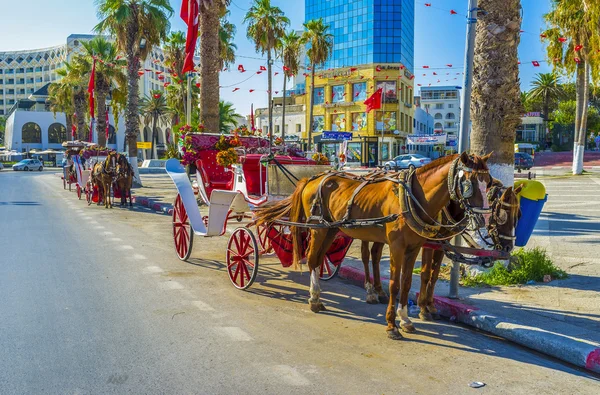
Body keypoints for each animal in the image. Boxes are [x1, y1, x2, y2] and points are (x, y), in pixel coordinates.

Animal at [253, 153, 492, 338]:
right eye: (469, 183)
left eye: (488, 182)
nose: (484, 219)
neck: (413, 198)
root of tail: (312, 178)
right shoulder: (397, 247)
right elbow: (395, 284)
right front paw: (391, 325)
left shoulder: (413, 248)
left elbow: (407, 283)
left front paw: (405, 320)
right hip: (318, 229)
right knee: (312, 260)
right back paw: (314, 299)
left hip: (331, 230)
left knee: (319, 260)